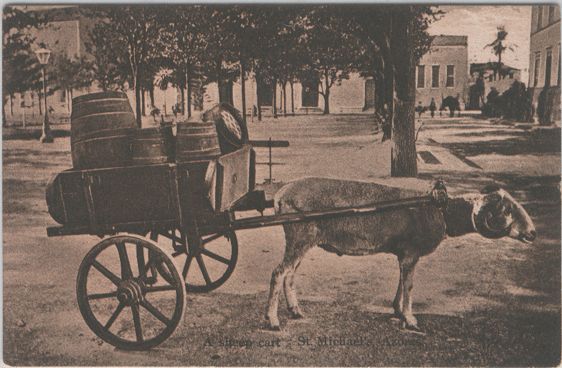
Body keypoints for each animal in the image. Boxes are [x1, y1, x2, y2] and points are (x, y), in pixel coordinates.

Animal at [264, 178, 536, 330]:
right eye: (506, 210)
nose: (532, 233)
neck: (439, 209)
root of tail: (280, 195)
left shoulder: (405, 253)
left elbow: (402, 281)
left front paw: (397, 310)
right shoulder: (411, 252)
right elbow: (410, 285)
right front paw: (410, 319)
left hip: (302, 241)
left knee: (290, 274)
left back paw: (296, 311)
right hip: (299, 237)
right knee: (278, 272)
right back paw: (273, 321)